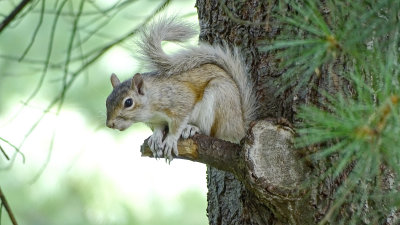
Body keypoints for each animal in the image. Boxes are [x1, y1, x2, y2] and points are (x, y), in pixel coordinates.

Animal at [105, 16, 256, 161]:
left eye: (128, 102)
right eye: (107, 101)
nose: (109, 124)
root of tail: (239, 127)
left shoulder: (180, 100)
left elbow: (177, 124)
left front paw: (171, 139)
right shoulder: (156, 119)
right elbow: (159, 127)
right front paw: (156, 137)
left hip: (219, 95)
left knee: (212, 132)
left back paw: (192, 128)